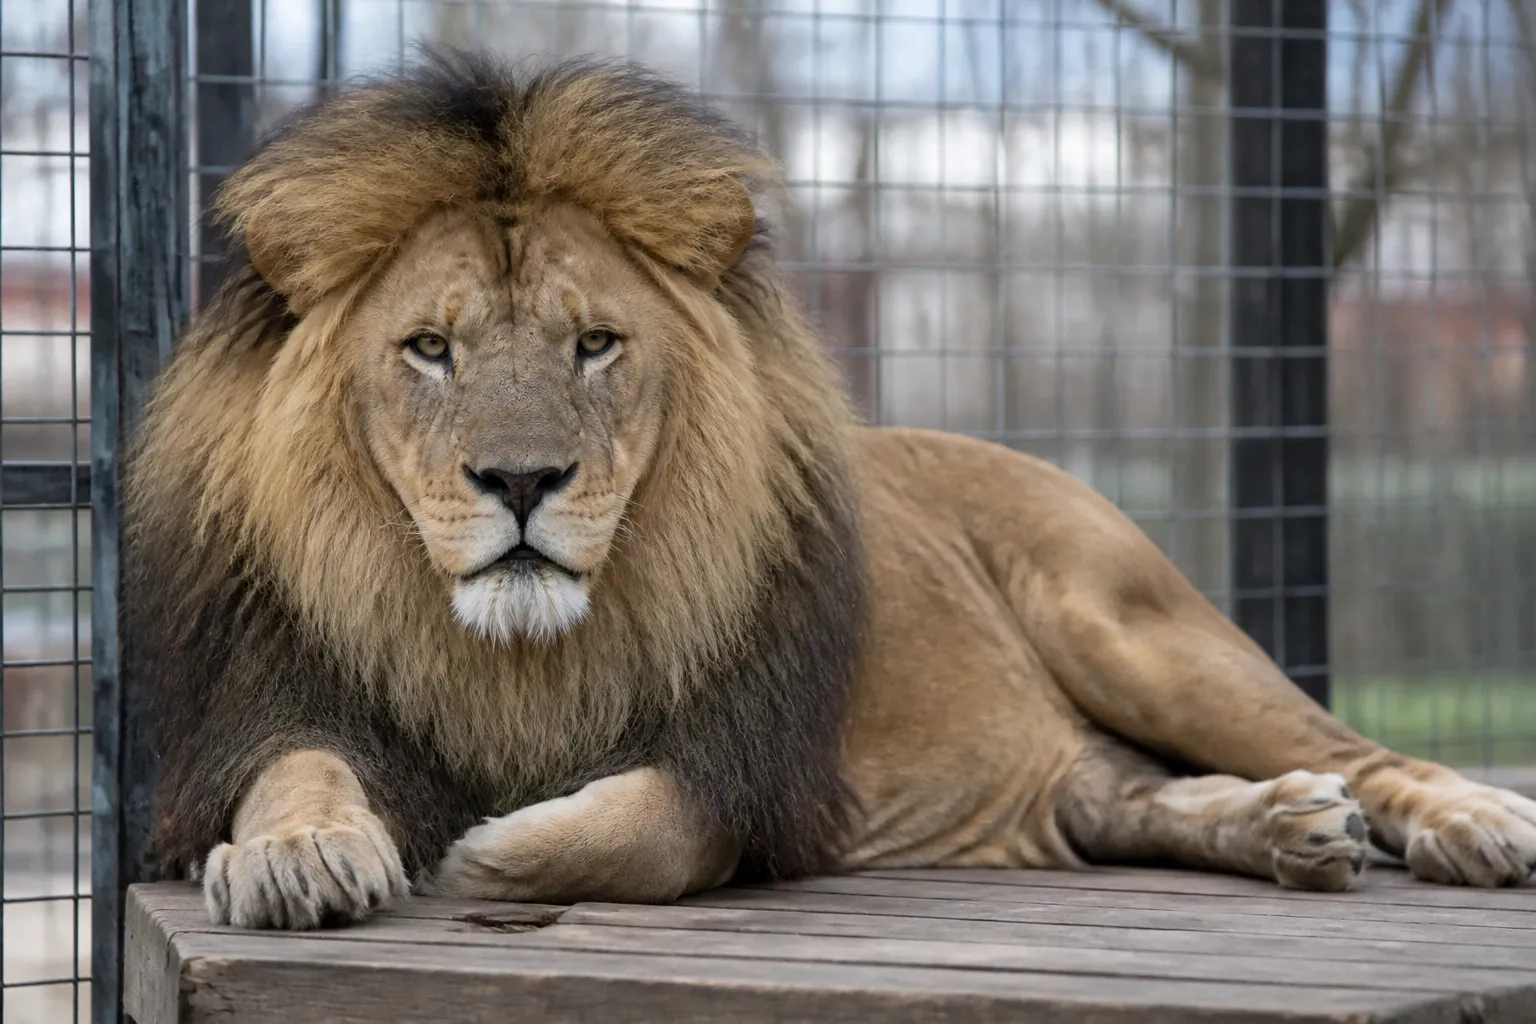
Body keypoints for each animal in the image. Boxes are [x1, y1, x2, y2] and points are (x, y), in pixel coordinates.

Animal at [124, 51, 1536, 931]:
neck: (515, 650)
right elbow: (297, 772)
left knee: (1358, 749)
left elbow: (647, 831)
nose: (521, 479)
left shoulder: (750, 769)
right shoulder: (281, 689)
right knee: (1125, 797)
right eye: (429, 347)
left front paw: (491, 845)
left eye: (596, 344)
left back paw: (1467, 820)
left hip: (1132, 628)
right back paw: (1290, 828)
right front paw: (305, 852)